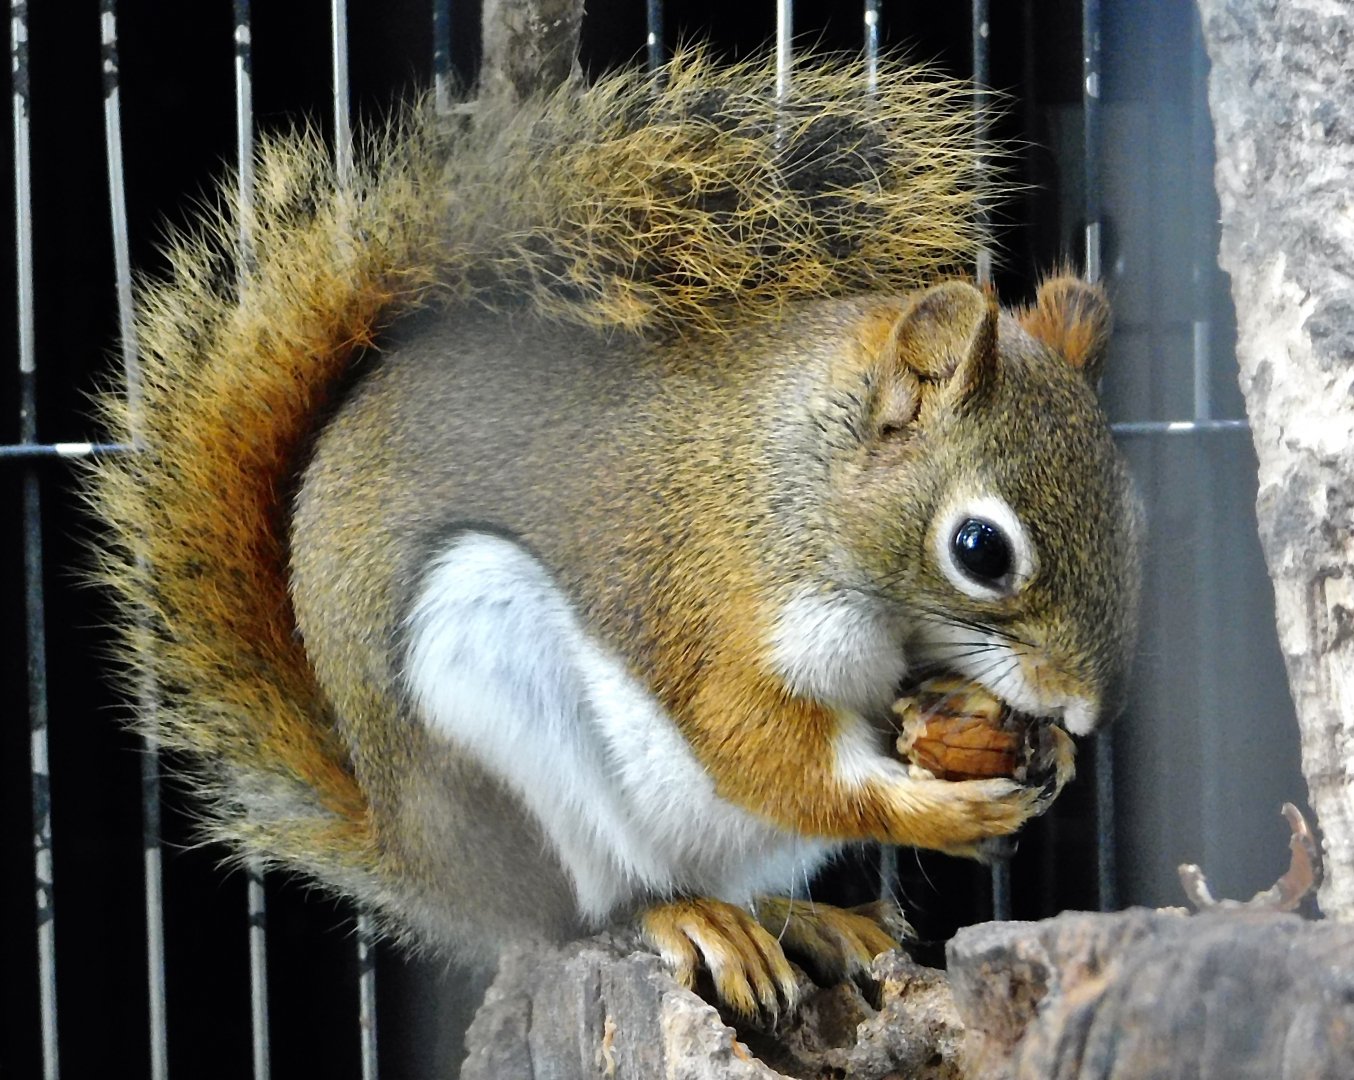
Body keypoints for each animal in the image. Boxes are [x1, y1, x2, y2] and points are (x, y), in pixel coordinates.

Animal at [89, 51, 1141, 1020]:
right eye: (980, 550)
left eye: (1134, 516)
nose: (1085, 711)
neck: (802, 491)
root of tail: (428, 868)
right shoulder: (716, 602)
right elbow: (760, 749)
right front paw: (938, 809)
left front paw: (1040, 751)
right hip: (493, 678)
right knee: (589, 907)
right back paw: (686, 918)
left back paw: (806, 918)